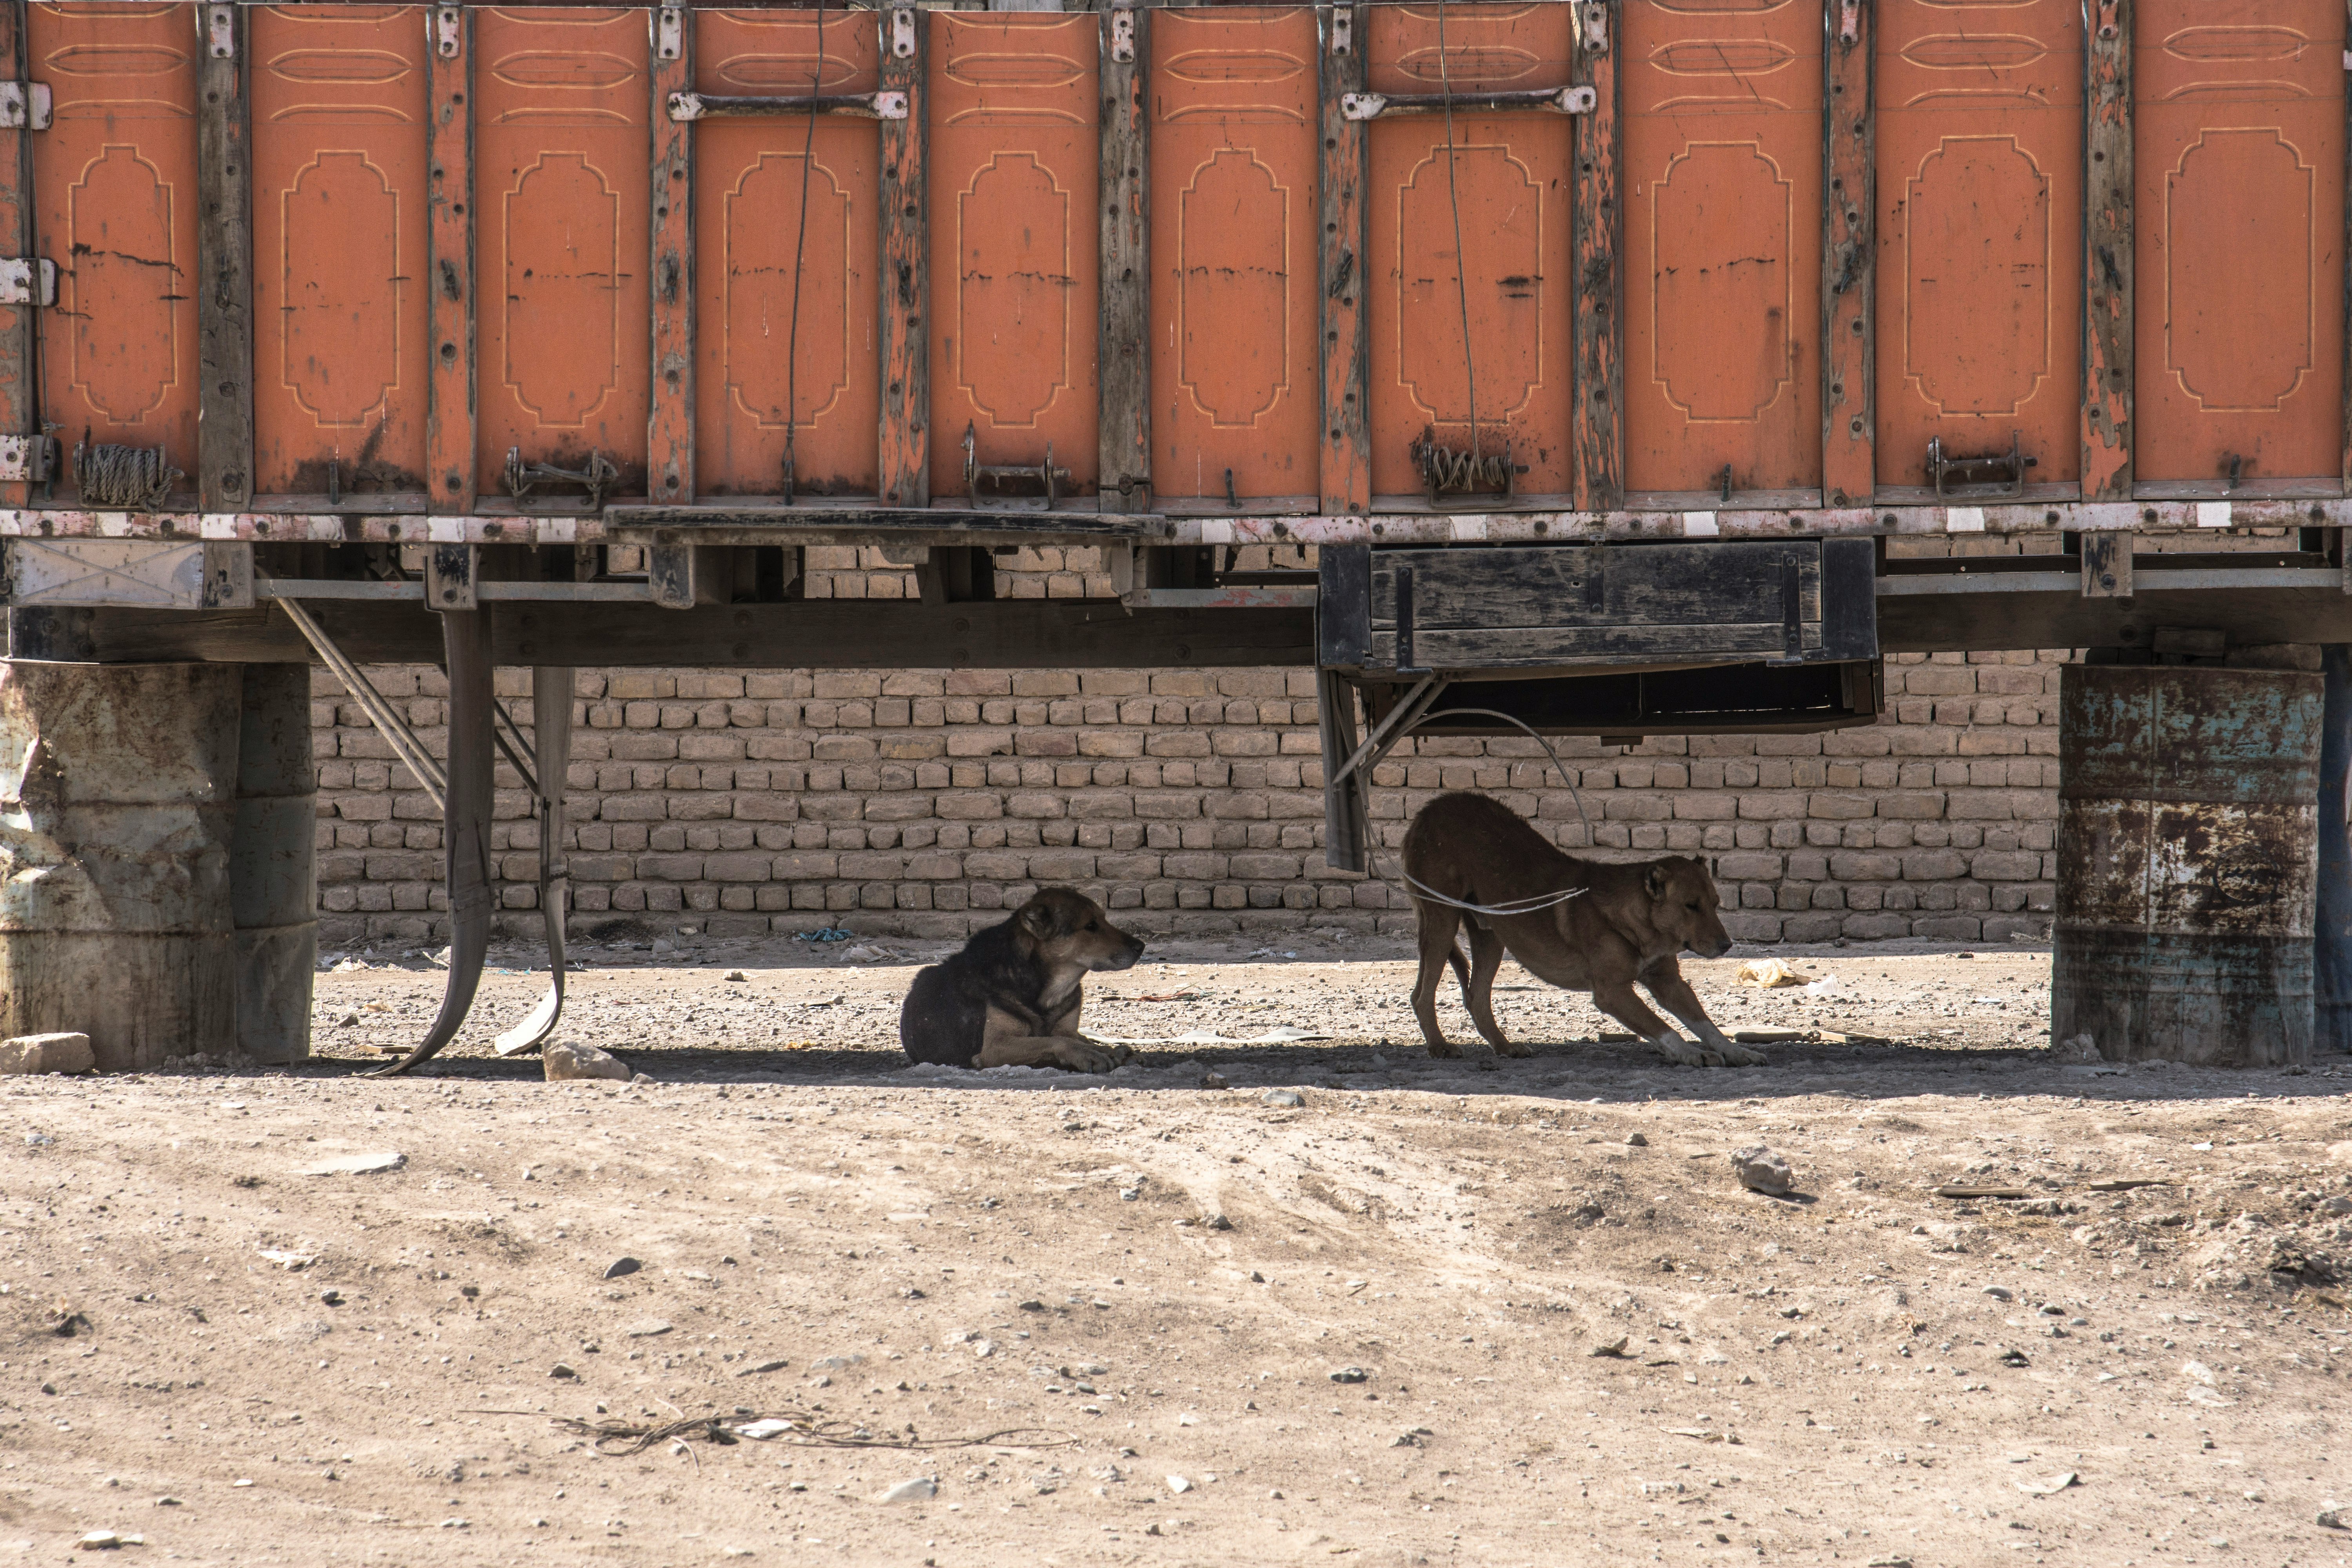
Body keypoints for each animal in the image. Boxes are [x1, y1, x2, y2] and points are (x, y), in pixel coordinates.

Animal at [898, 888, 1148, 1072]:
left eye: (1104, 920)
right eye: (1090, 926)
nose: (1141, 946)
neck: (1048, 992)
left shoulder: (1068, 1029)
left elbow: (1076, 1038)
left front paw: (1110, 1051)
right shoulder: (995, 1048)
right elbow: (1056, 1041)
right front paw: (1087, 1055)